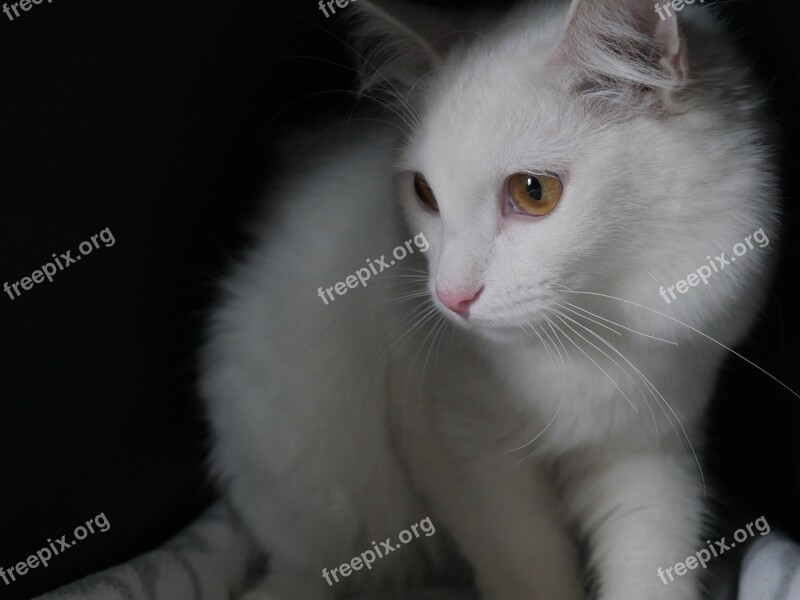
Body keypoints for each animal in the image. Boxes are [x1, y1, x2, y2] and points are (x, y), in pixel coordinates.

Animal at [202, 1, 780, 600]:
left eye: (534, 191)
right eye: (424, 193)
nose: (450, 296)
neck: (586, 346)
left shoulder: (649, 448)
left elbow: (654, 564)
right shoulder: (465, 450)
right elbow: (529, 566)